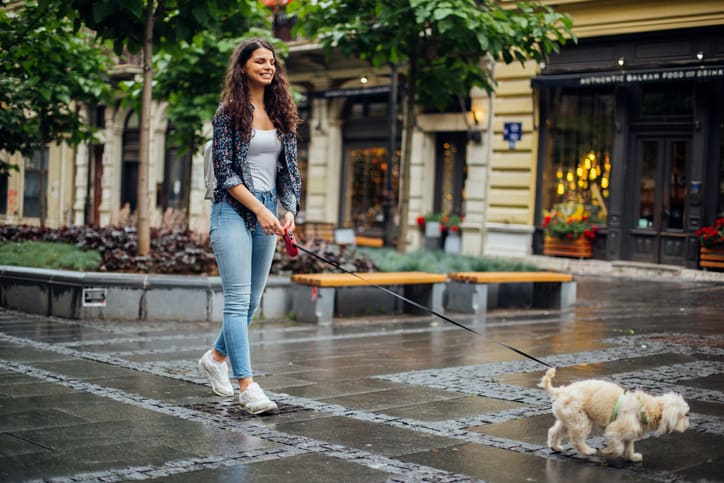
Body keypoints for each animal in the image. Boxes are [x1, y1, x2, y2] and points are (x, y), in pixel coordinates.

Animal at [536, 366, 692, 462]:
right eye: (685, 414)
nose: (689, 423)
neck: (646, 408)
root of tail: (561, 391)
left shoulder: (629, 434)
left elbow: (628, 446)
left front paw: (632, 457)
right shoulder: (614, 430)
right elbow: (618, 447)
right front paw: (608, 452)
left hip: (568, 419)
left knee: (554, 431)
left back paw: (555, 447)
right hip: (580, 420)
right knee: (576, 440)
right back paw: (588, 450)